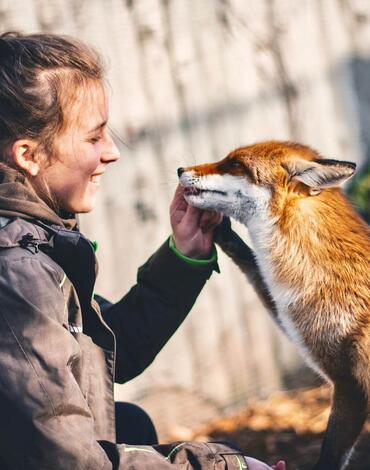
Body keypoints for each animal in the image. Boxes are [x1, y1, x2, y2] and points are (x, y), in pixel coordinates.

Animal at [178, 140, 370, 470]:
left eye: (235, 164)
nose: (180, 169)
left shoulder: (350, 386)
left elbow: (328, 456)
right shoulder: (289, 317)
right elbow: (252, 266)